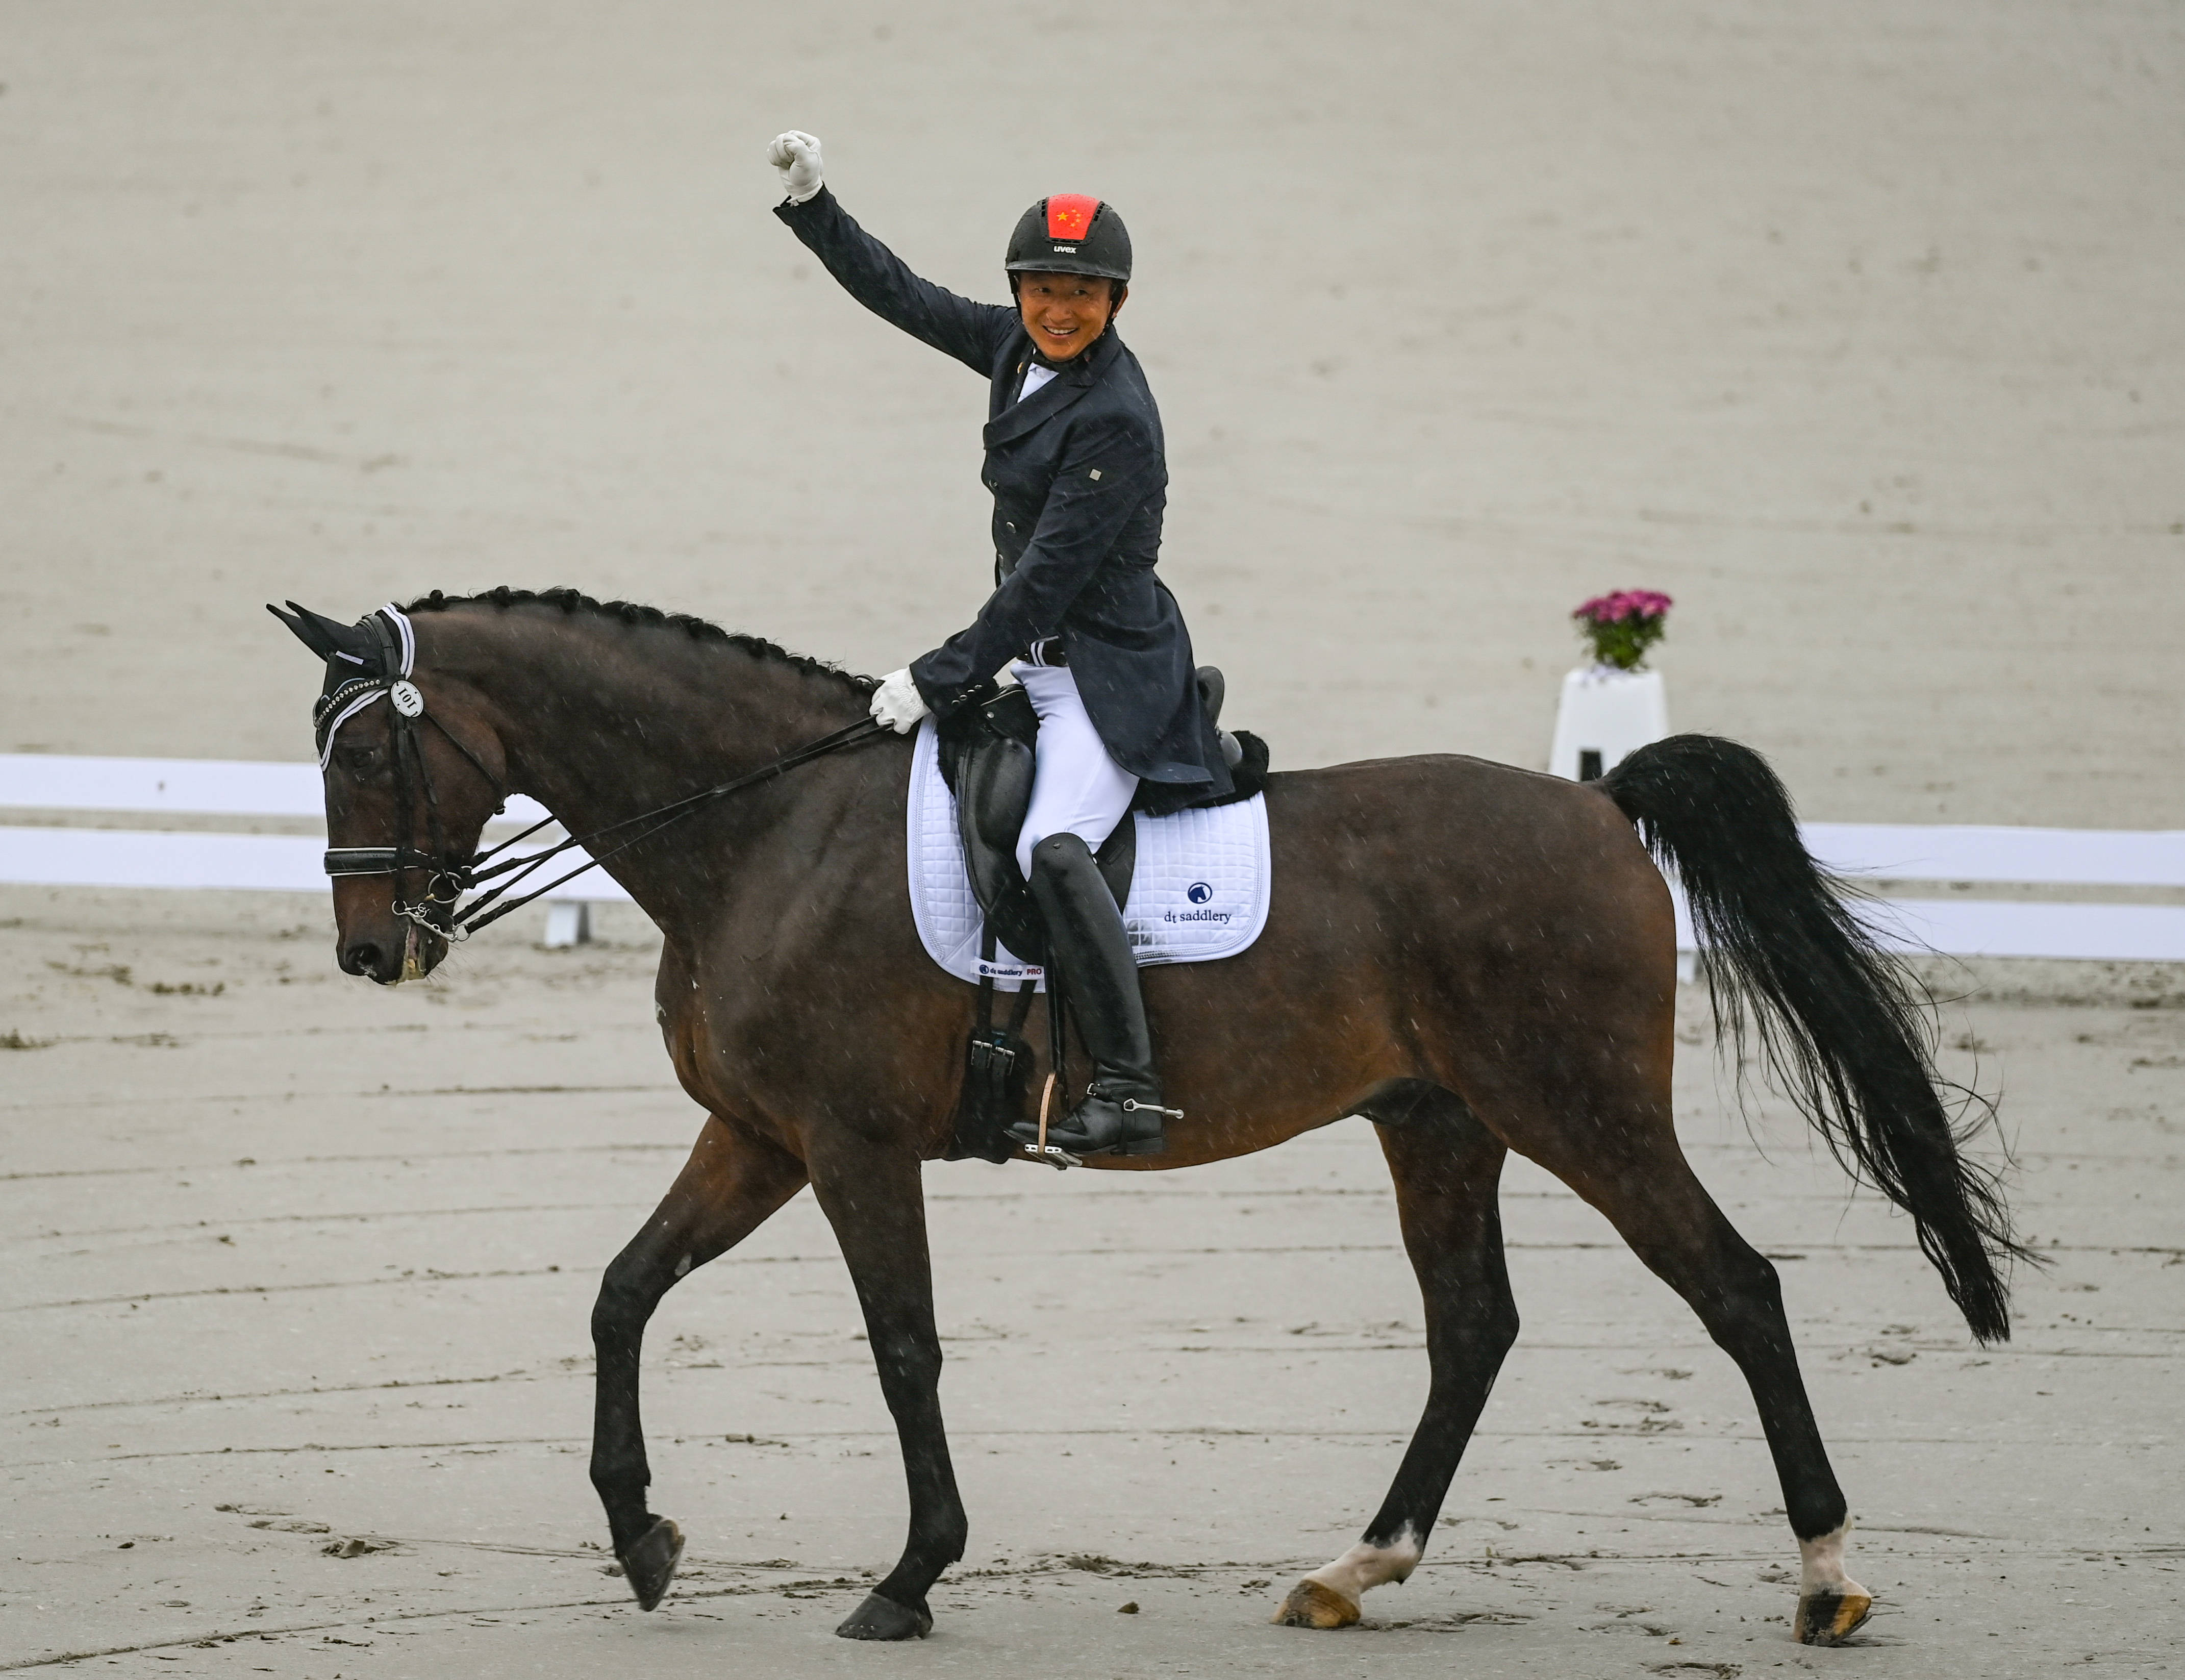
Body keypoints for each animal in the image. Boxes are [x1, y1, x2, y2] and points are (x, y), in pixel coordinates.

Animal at [282, 585, 2019, 1643]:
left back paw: (1827, 1576)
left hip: (1578, 1108)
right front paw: (644, 1535)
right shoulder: (760, 1138)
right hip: (1435, 1118)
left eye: (367, 751)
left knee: (1733, 1286)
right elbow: (622, 1289)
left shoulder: (848, 1143)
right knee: (1471, 1323)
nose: (372, 950)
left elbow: (900, 1344)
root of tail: (1599, 800)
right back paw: (1353, 1564)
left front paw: (909, 1573)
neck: (768, 825)